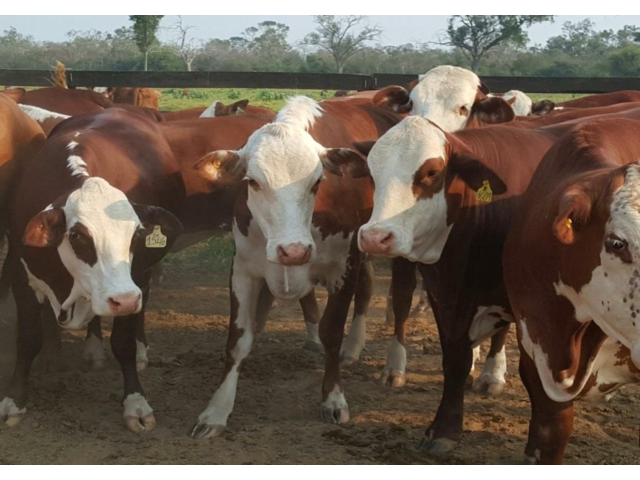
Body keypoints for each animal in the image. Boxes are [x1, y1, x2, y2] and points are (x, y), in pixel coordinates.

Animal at [0, 109, 184, 431]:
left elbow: (123, 342)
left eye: (137, 234)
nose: (124, 300)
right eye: (77, 236)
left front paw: (135, 402)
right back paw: (91, 347)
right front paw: (14, 400)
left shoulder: (133, 281)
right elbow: (28, 338)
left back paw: (139, 349)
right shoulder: (24, 278)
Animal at [188, 96, 401, 439]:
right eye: (252, 181)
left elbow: (331, 332)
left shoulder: (343, 267)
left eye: (317, 181)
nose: (294, 250)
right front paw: (216, 411)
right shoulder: (243, 271)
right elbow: (238, 340)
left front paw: (333, 399)